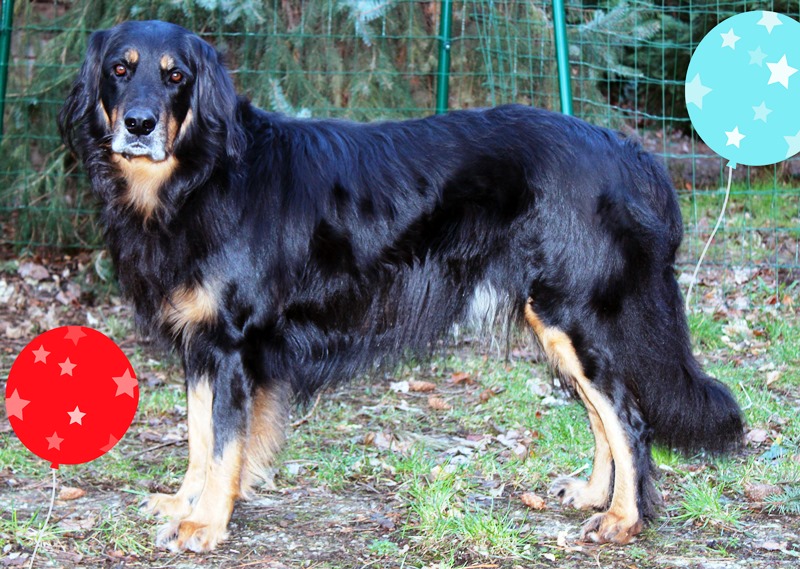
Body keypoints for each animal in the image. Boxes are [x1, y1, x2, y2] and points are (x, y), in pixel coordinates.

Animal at [58, 20, 744, 553]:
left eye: (176, 76)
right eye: (120, 69)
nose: (139, 124)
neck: (204, 174)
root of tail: (628, 152)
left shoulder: (233, 344)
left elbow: (224, 442)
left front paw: (206, 524)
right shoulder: (202, 346)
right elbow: (201, 436)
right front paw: (184, 504)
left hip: (575, 312)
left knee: (628, 416)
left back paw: (624, 518)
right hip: (555, 319)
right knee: (604, 411)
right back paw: (595, 494)